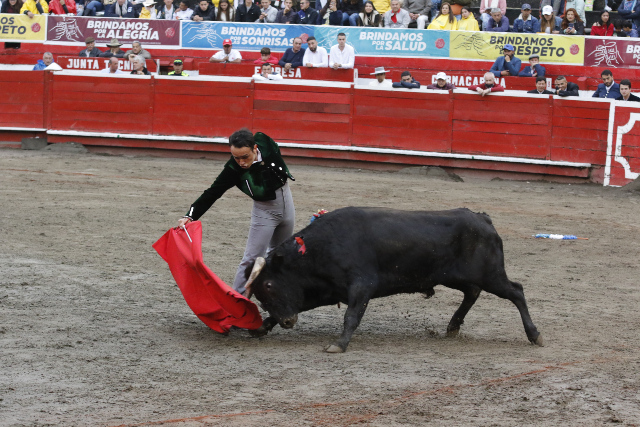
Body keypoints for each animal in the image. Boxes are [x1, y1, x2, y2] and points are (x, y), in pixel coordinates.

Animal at [242, 208, 544, 354]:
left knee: (516, 292)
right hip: (457, 277)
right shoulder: (326, 291)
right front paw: (263, 326)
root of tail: (483, 218)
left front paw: (339, 344)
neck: (318, 248)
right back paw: (452, 327)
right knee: (472, 293)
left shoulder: (361, 285)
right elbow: (304, 305)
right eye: (260, 293)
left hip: (492, 275)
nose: (287, 322)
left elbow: (352, 316)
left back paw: (535, 335)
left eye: (268, 285)